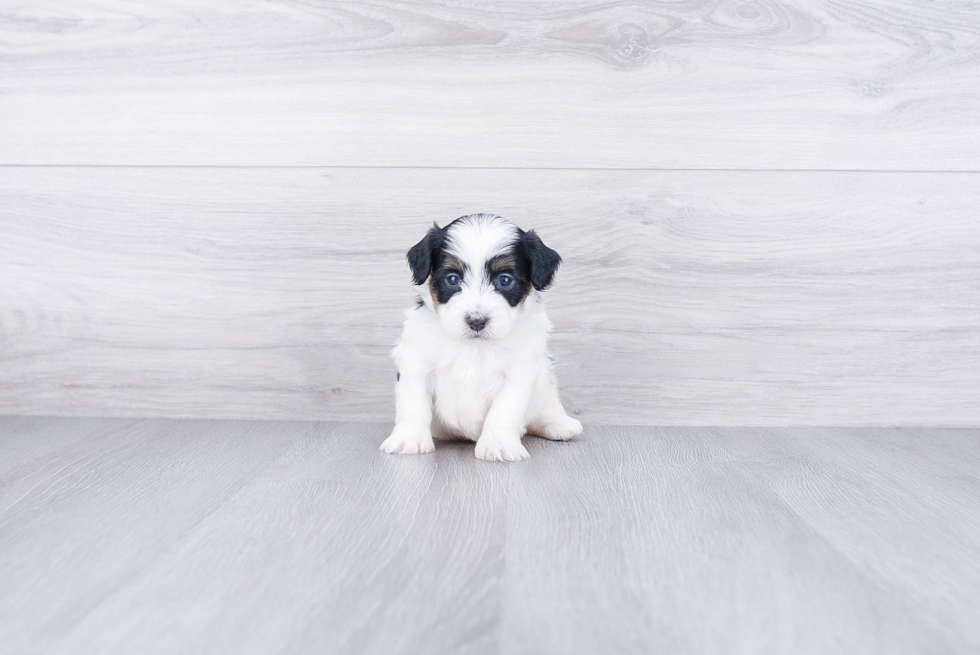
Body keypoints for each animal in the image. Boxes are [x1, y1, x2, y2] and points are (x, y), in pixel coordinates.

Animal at [380, 214, 580, 462]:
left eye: (504, 280)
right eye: (453, 279)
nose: (476, 321)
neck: (474, 346)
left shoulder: (519, 374)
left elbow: (504, 410)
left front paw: (498, 444)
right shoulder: (417, 365)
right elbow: (414, 404)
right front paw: (410, 438)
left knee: (545, 408)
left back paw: (560, 424)